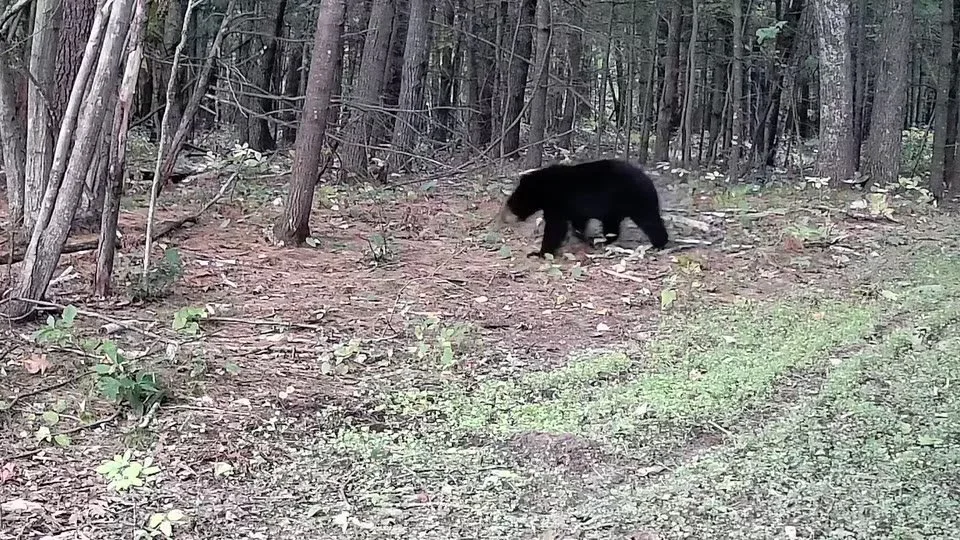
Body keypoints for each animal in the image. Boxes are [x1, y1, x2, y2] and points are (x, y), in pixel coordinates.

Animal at [498, 158, 669, 258]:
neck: (544, 188)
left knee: (650, 220)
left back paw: (659, 243)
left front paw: (539, 252)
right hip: (615, 209)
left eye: (513, 202)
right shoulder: (574, 208)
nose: (504, 217)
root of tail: (649, 181)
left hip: (637, 200)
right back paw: (602, 241)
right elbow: (578, 222)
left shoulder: (558, 202)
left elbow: (555, 227)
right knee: (612, 226)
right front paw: (580, 237)